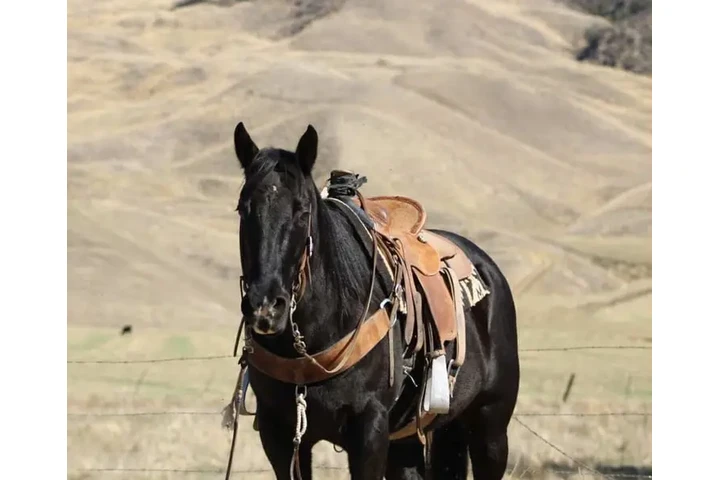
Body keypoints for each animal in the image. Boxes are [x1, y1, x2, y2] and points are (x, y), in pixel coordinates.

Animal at [229, 122, 520, 480]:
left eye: (302, 211)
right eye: (243, 209)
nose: (266, 307)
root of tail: (490, 272)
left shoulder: (370, 429)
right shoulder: (280, 434)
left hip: (490, 429)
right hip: (419, 437)